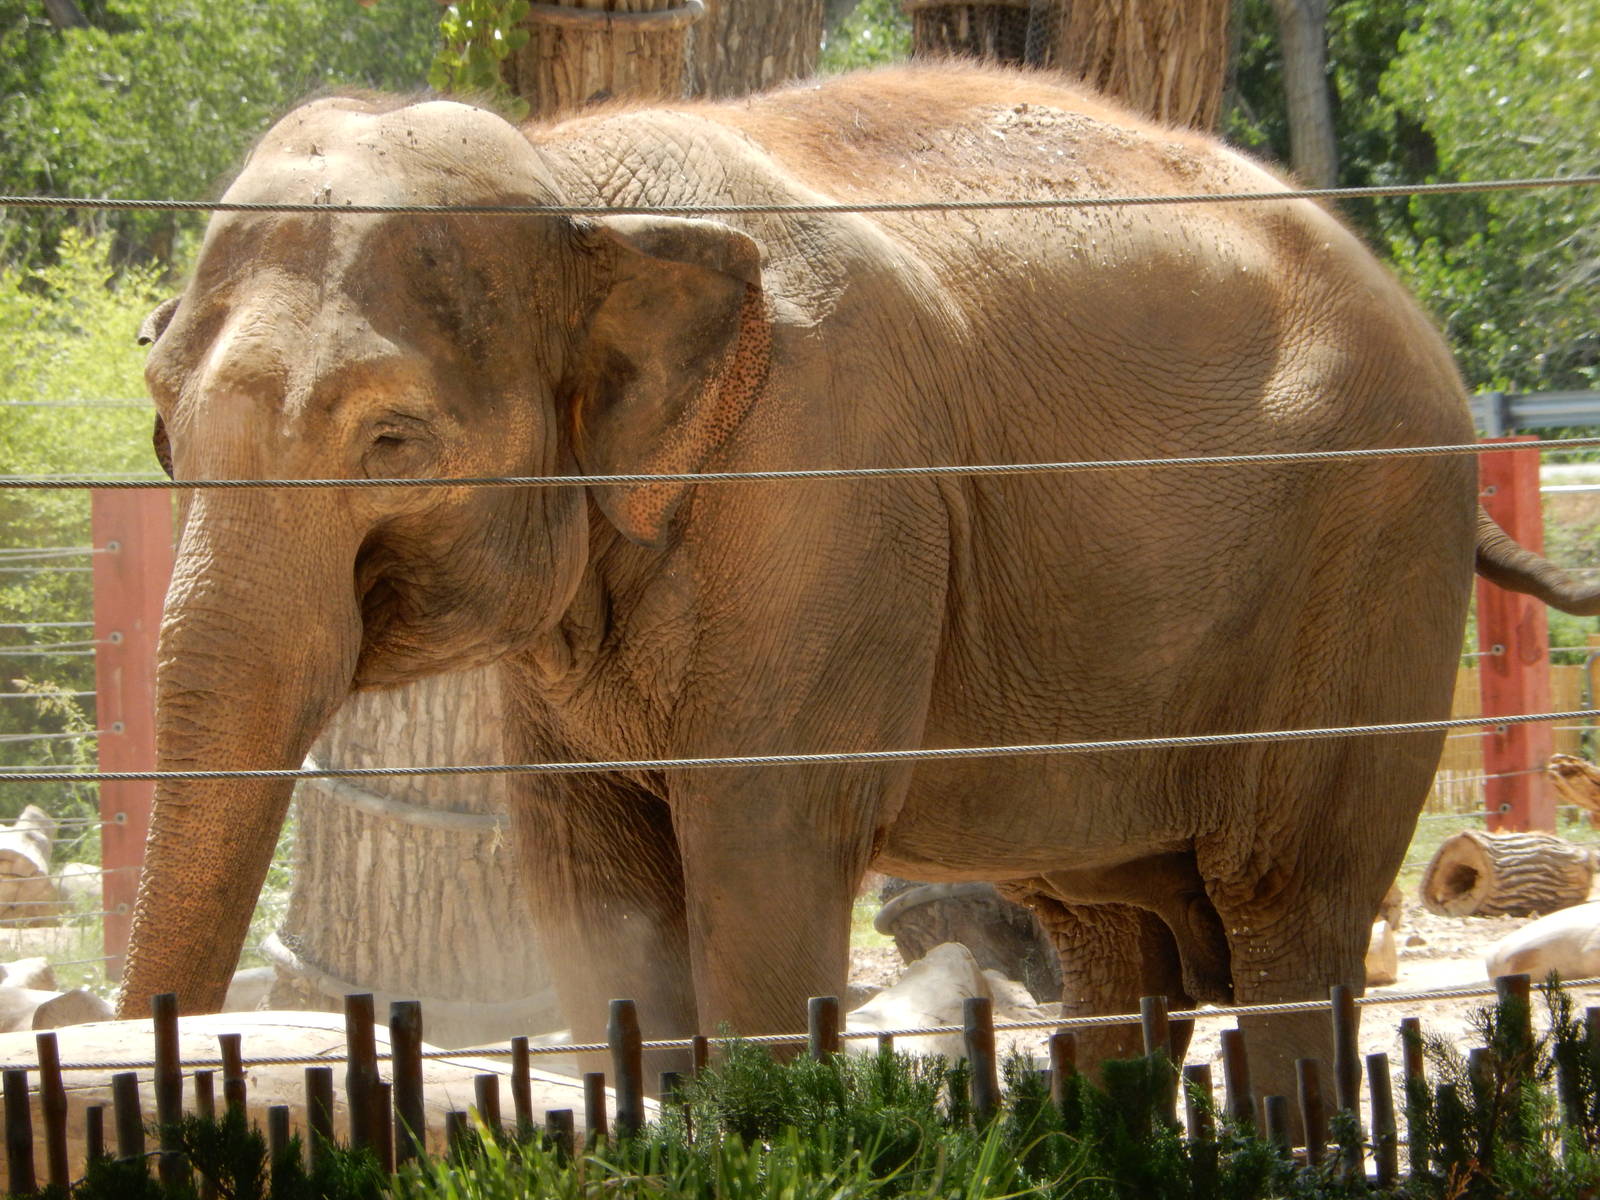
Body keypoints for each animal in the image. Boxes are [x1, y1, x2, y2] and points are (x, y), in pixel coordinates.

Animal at [123, 61, 1599, 1111]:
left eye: (389, 440)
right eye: (159, 426)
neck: (571, 177)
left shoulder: (826, 494)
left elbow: (764, 865)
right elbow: (593, 889)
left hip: (1367, 562)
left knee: (1287, 914)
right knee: (1116, 942)